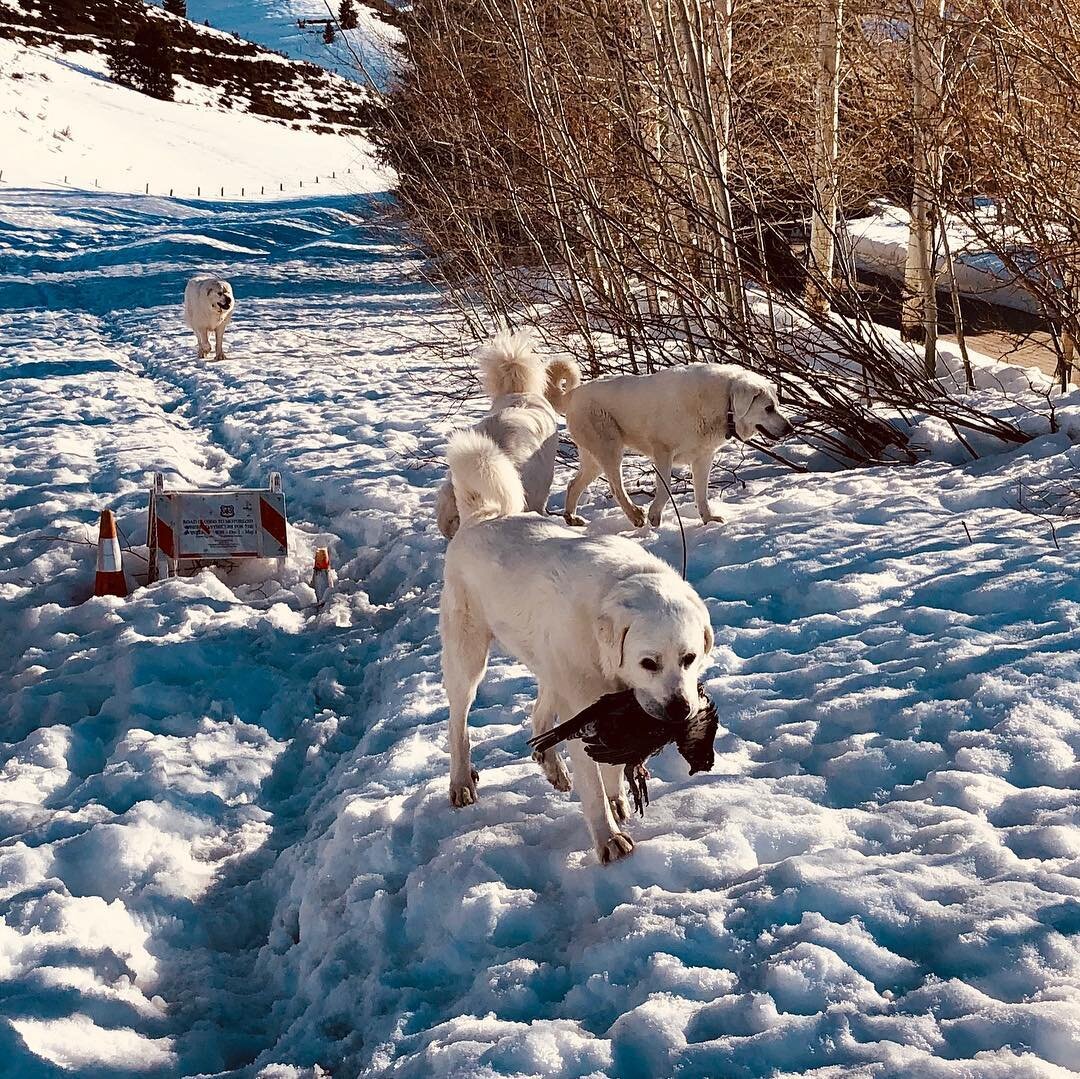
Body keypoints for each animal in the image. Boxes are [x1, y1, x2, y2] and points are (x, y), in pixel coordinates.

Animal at [565, 365, 794, 529]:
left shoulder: (703, 458)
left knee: (573, 484)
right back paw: (635, 515)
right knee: (615, 487)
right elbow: (665, 488)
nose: (789, 428)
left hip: (594, 458)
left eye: (776, 406)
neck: (724, 404)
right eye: (768, 408)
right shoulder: (663, 451)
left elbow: (701, 493)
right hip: (609, 448)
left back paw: (571, 517)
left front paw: (708, 520)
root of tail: (573, 394)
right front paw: (654, 515)